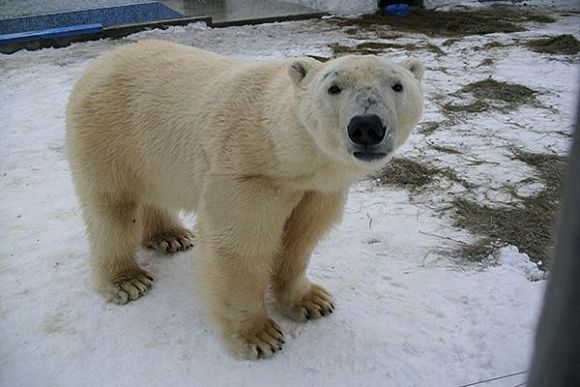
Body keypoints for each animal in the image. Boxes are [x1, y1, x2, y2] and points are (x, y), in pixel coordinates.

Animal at [67, 39, 422, 360]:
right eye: (334, 88)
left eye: (397, 85)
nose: (366, 126)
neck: (279, 149)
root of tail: (101, 62)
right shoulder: (248, 174)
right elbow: (239, 246)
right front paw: (259, 337)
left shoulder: (317, 189)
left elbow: (302, 237)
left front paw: (313, 302)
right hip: (109, 133)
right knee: (111, 207)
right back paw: (127, 281)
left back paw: (172, 236)